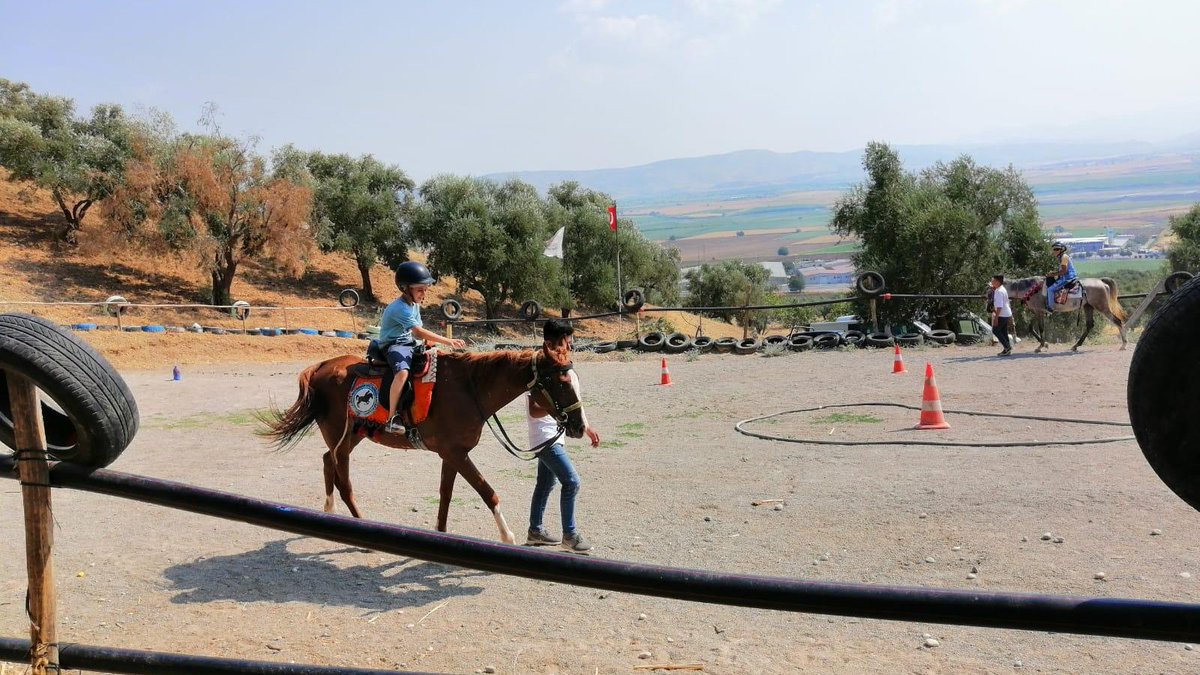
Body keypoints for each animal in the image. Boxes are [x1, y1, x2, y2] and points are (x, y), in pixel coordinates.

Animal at [259, 343, 585, 542]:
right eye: (562, 383)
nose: (579, 427)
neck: (469, 389)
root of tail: (321, 366)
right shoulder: (456, 454)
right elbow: (488, 493)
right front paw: (508, 537)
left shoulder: (452, 454)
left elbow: (445, 495)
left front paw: (441, 532)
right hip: (341, 436)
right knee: (343, 477)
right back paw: (358, 523)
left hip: (352, 436)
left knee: (329, 462)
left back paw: (333, 513)